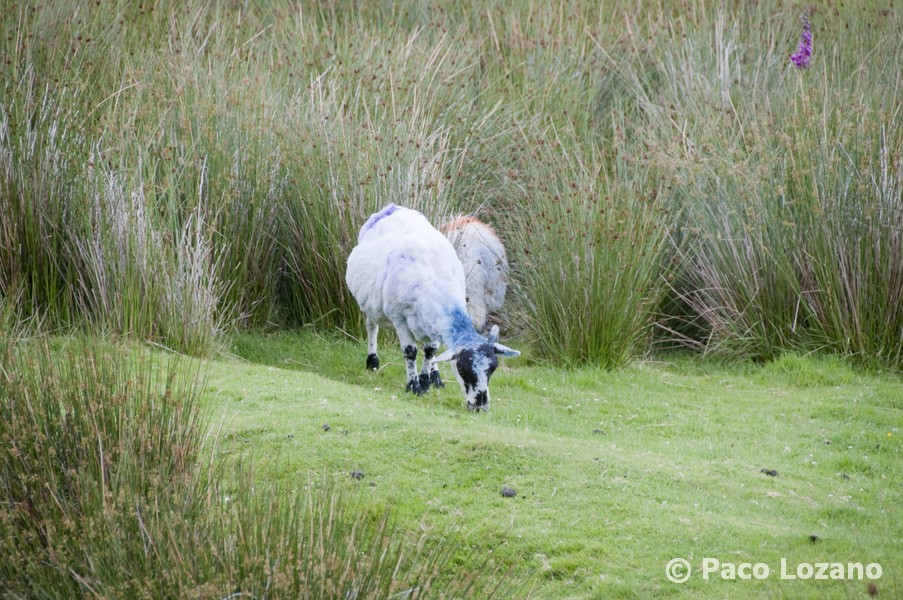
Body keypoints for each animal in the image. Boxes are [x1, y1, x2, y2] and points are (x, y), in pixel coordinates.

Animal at [345, 204, 519, 411]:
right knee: (372, 326)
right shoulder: (400, 318)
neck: (437, 283)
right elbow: (410, 351)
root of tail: (393, 207)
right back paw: (372, 361)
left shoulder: (436, 320)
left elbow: (431, 351)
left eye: (493, 369)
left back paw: (435, 377)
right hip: (371, 303)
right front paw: (414, 386)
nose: (481, 406)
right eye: (462, 369)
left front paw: (426, 381)